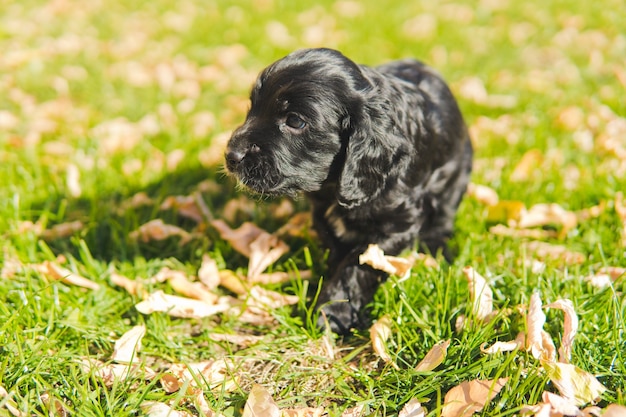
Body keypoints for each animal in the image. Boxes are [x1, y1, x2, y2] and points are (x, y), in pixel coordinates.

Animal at [222, 48, 470, 332]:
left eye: (294, 120)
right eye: (252, 106)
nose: (231, 155)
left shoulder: (396, 225)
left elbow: (357, 266)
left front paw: (331, 312)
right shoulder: (321, 214)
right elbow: (337, 249)